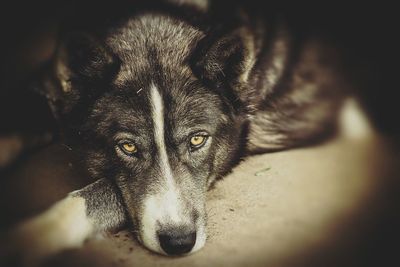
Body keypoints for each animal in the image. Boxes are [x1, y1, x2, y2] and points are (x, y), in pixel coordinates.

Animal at [0, 0, 350, 266]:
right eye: (127, 147)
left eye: (197, 139)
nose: (179, 242)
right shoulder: (40, 89)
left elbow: (101, 190)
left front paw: (32, 235)